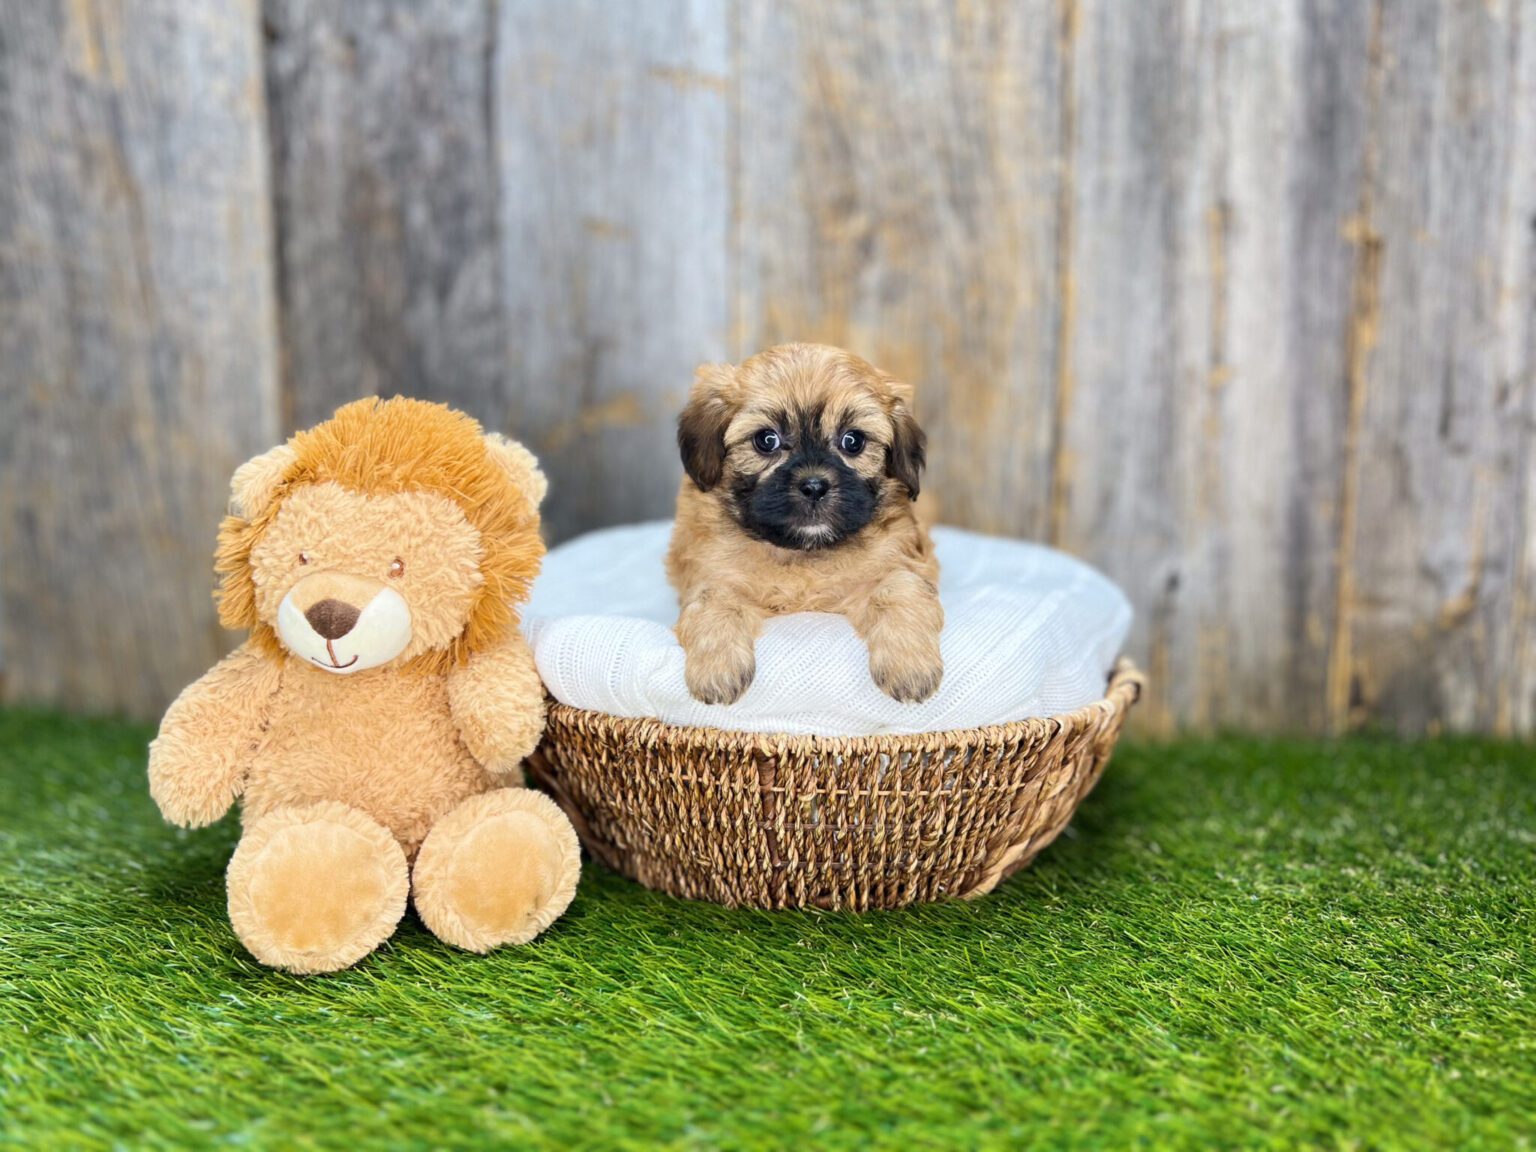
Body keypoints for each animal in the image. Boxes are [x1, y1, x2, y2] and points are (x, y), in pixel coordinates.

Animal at [666, 343, 944, 706]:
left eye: (853, 441)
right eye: (766, 440)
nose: (814, 486)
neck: (802, 552)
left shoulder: (899, 562)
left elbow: (899, 589)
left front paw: (910, 666)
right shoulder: (712, 573)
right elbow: (713, 601)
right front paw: (717, 669)